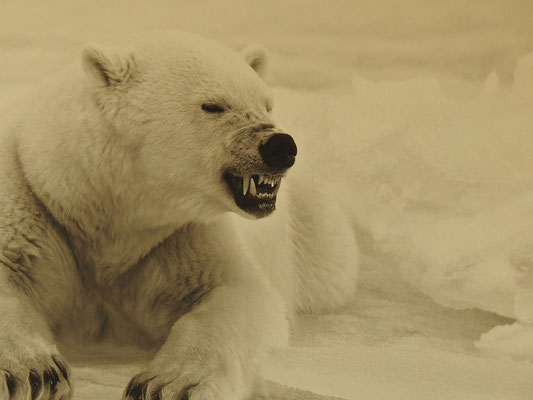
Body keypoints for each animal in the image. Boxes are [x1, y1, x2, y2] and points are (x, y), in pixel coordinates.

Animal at [0, 32, 358, 400]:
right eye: (213, 105)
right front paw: (34, 373)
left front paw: (167, 383)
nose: (280, 146)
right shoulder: (32, 204)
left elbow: (239, 294)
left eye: (267, 104)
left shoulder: (184, 234)